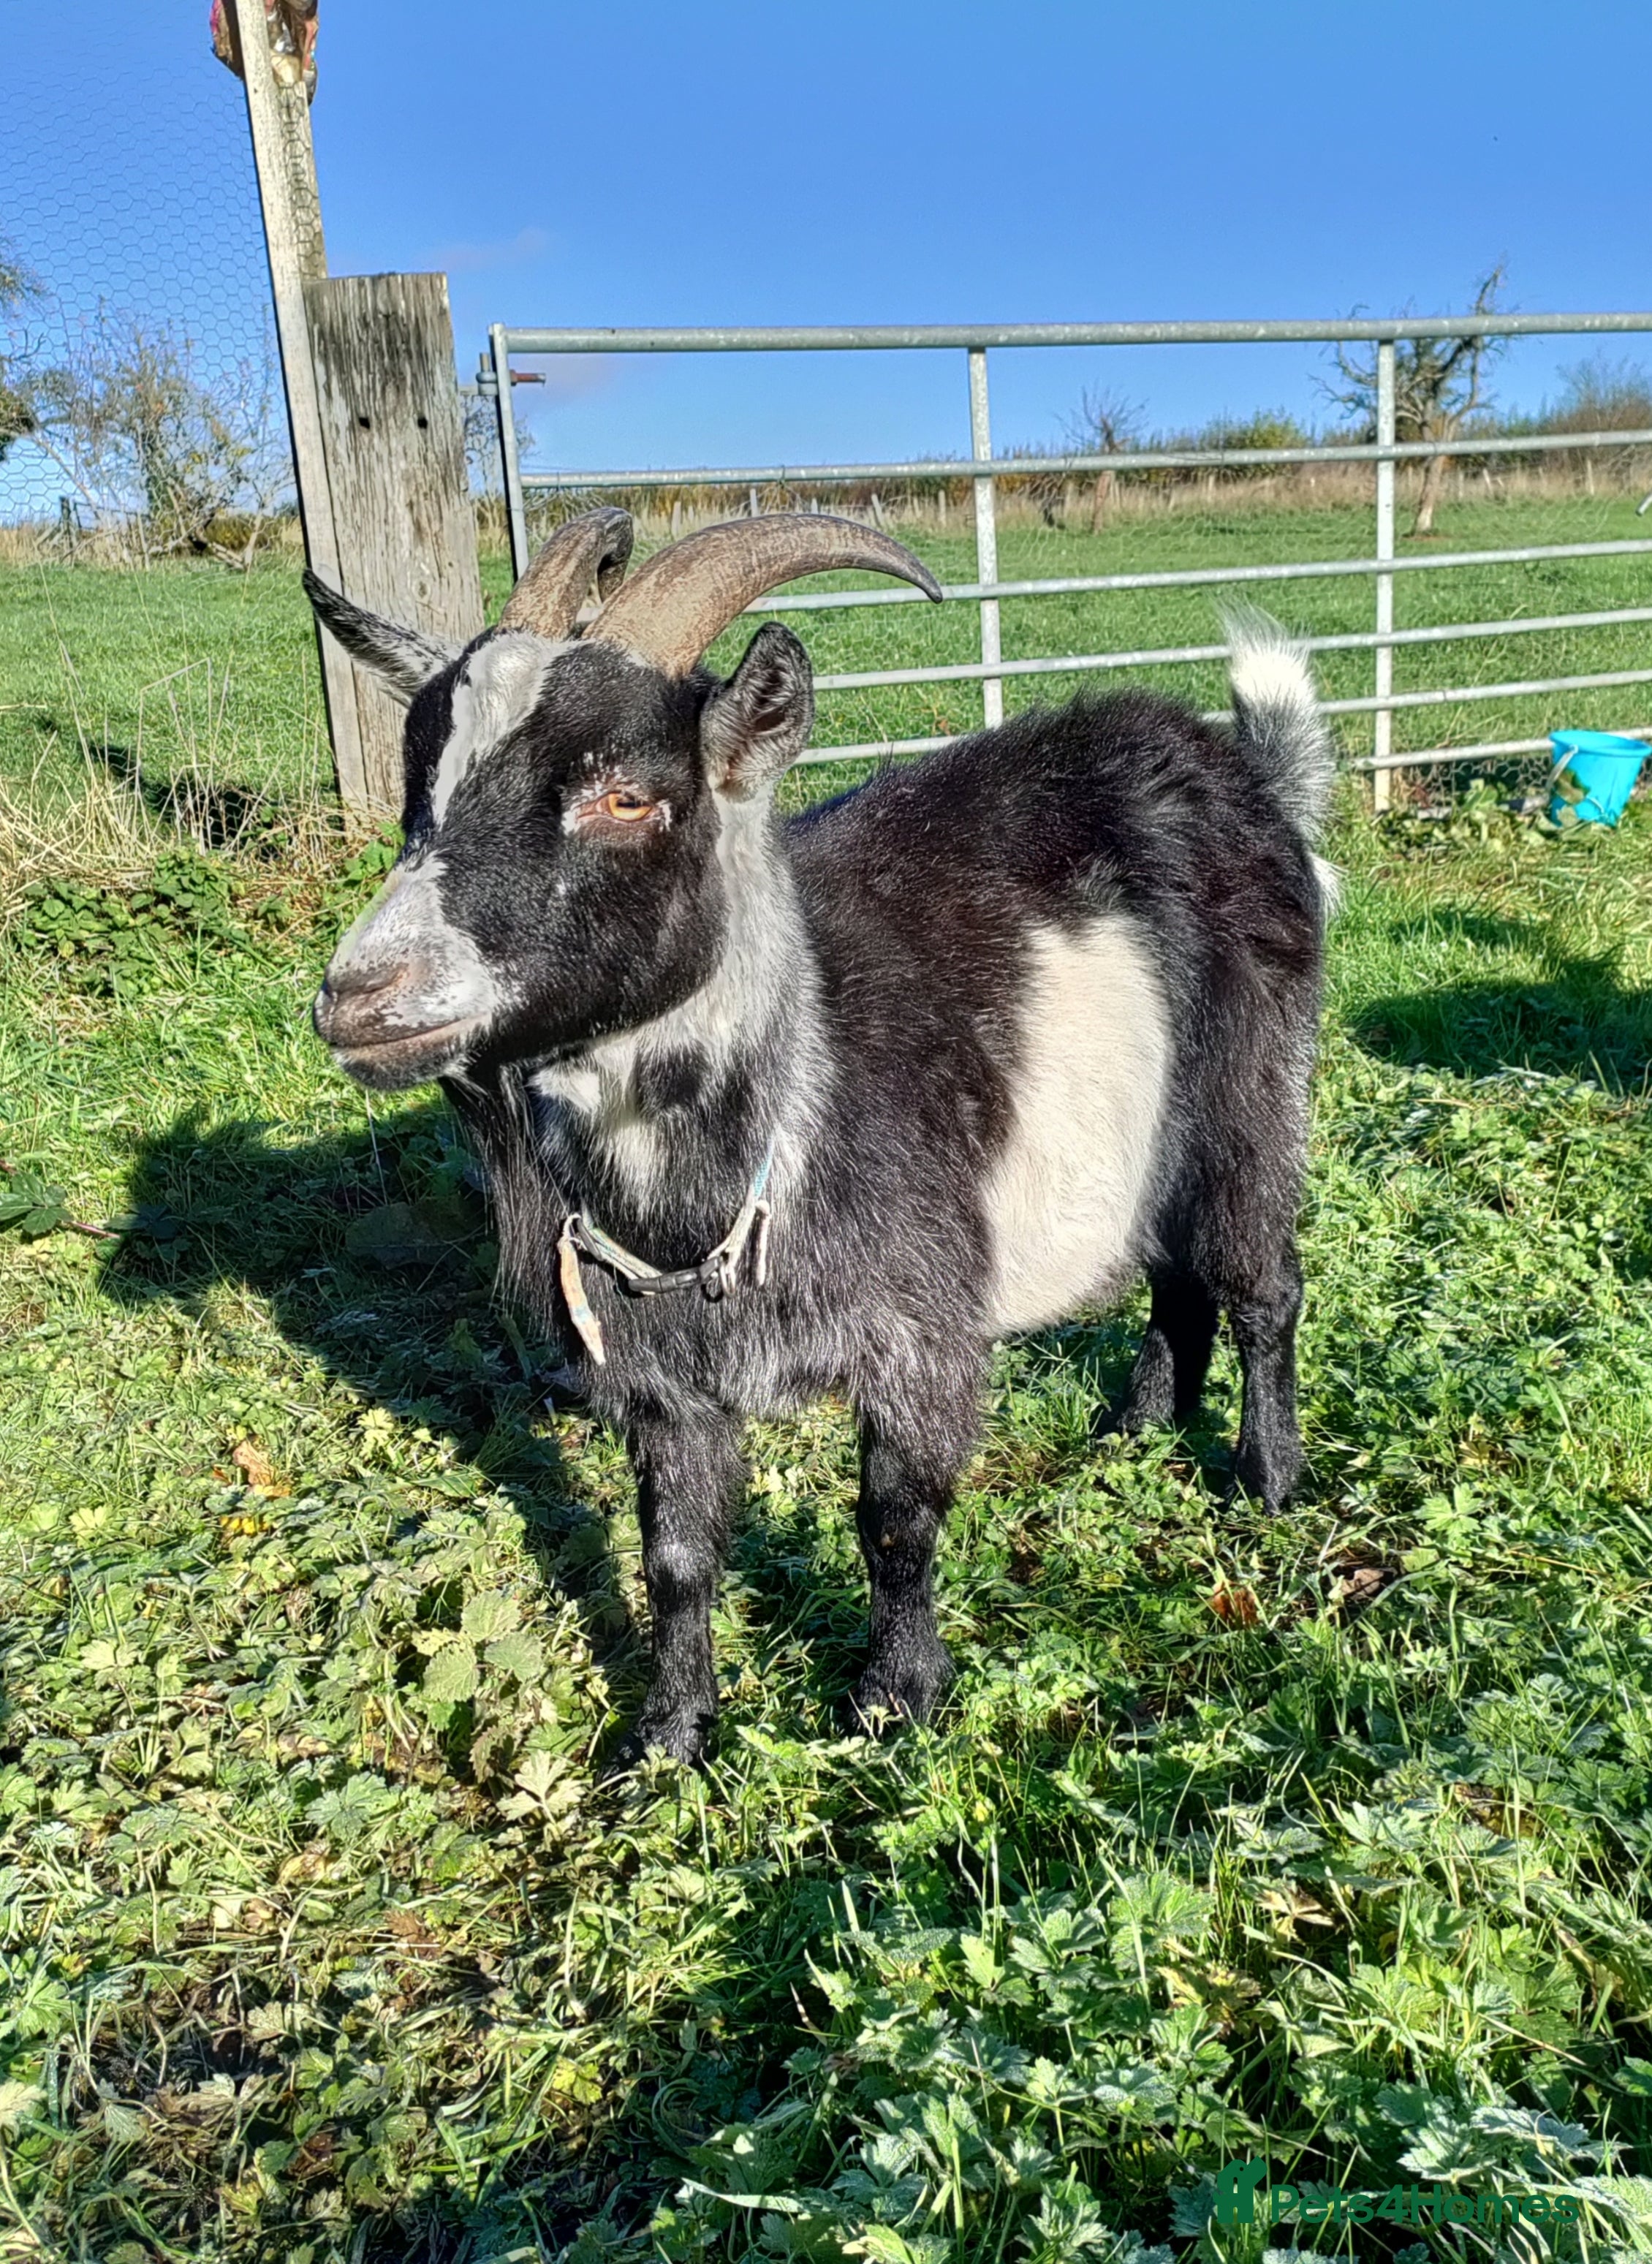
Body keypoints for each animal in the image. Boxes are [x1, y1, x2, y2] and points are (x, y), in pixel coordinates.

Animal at [305, 508, 1332, 1764]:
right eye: (419, 789)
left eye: (629, 797)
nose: (362, 998)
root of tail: (1246, 774)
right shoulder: (661, 1375)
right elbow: (675, 1555)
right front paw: (671, 1735)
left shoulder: (918, 1330)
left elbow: (893, 1520)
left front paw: (896, 1700)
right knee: (1172, 1267)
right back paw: (1134, 1430)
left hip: (1249, 1091)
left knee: (1258, 1282)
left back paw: (1265, 1477)